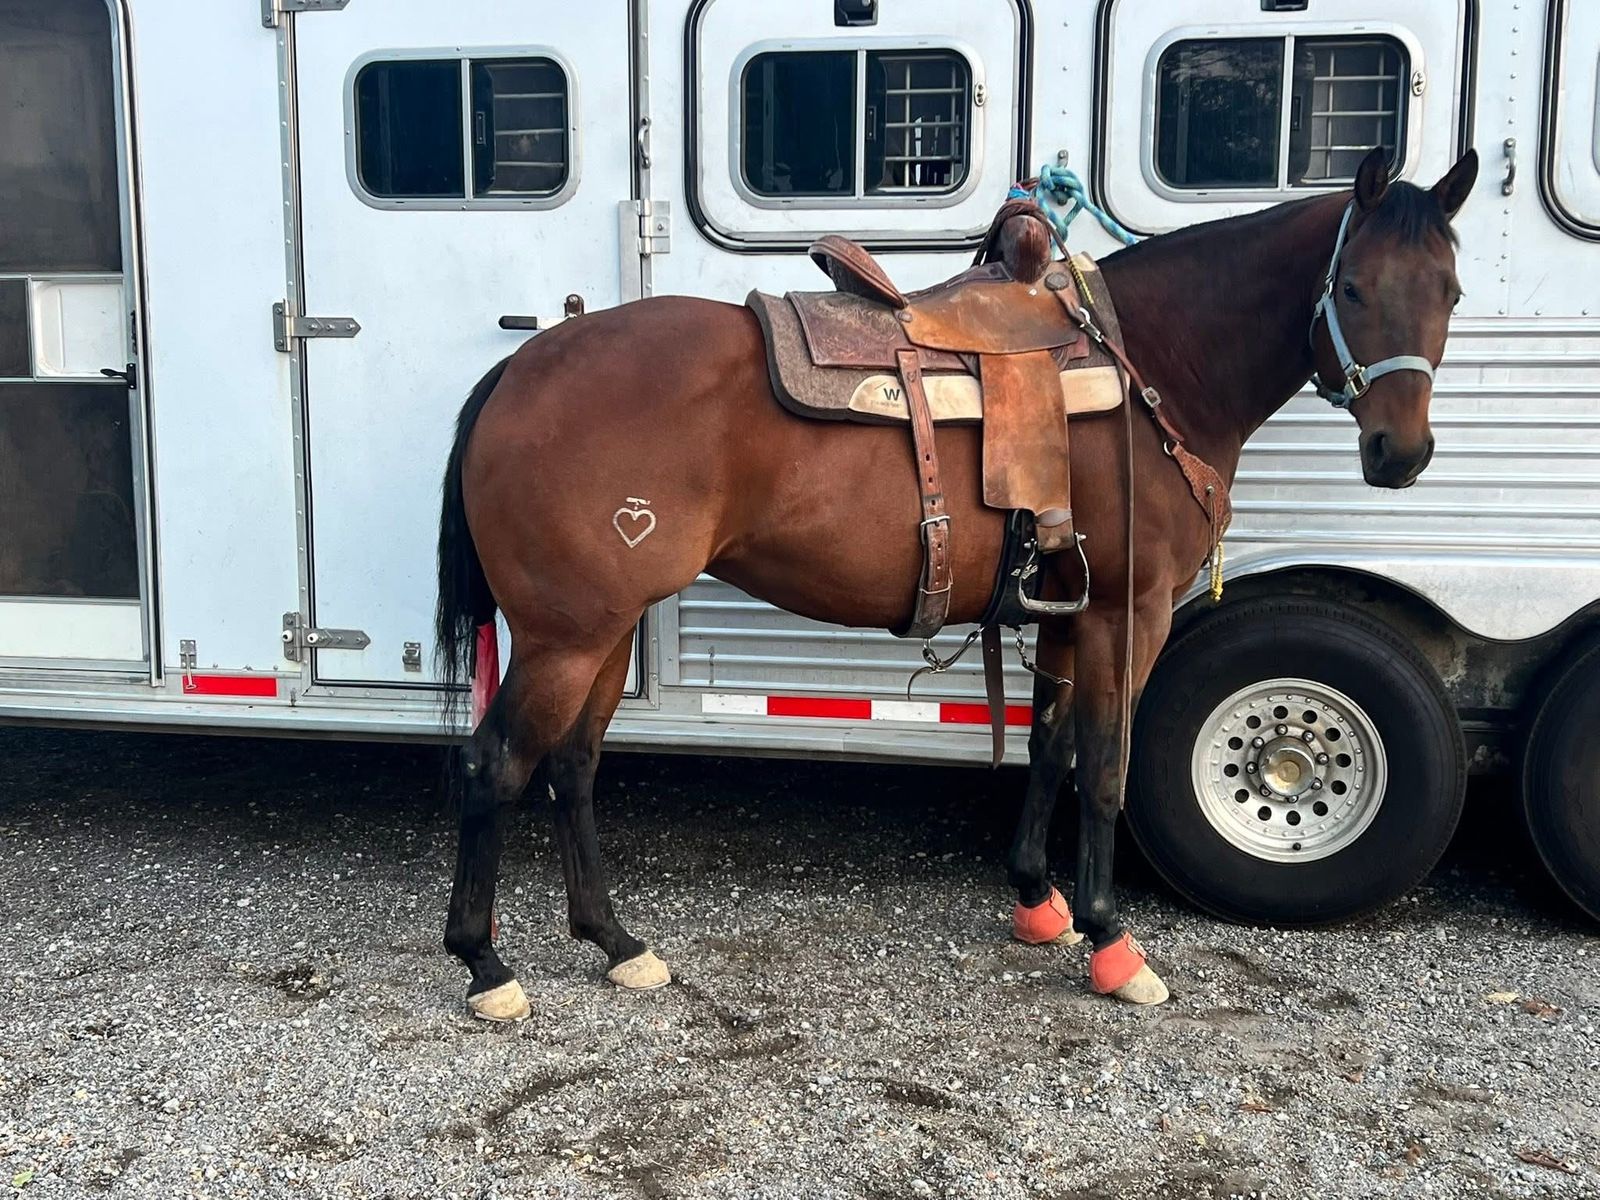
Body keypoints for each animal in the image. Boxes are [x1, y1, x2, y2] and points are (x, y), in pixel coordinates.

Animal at [433, 147, 1479, 1021]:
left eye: (1452, 289)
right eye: (1353, 285)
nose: (1402, 454)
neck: (1153, 369)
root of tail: (522, 368)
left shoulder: (1066, 613)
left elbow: (1051, 746)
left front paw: (1037, 900)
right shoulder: (1127, 614)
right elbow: (1106, 767)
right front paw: (1113, 941)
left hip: (604, 628)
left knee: (572, 766)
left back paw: (614, 942)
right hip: (568, 634)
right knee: (495, 764)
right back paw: (485, 965)